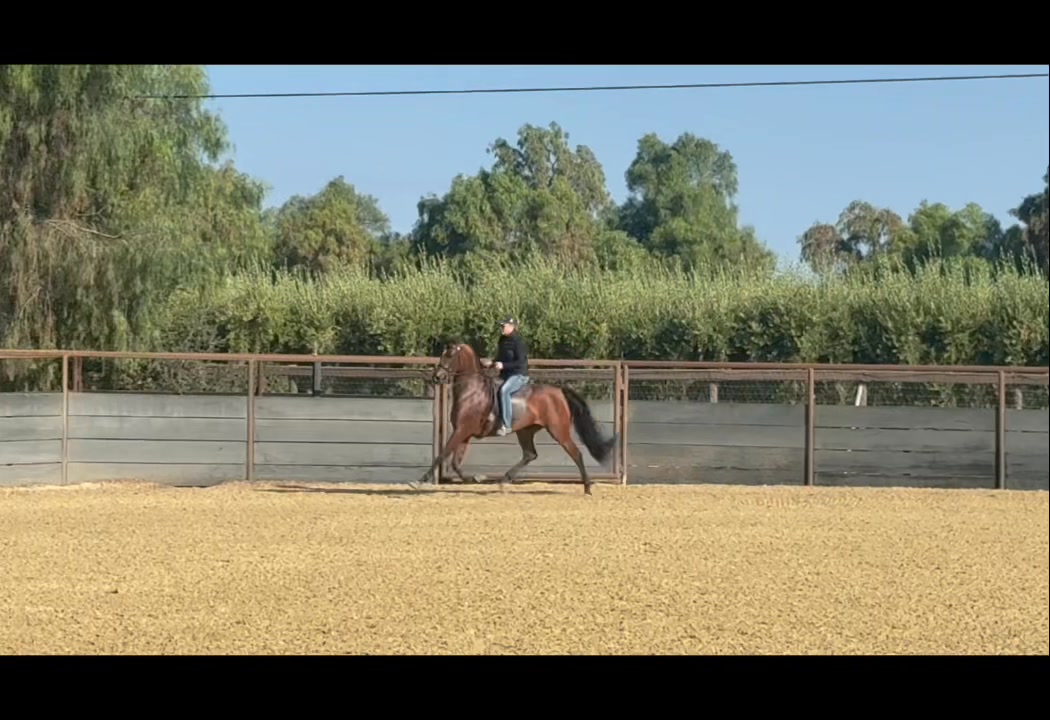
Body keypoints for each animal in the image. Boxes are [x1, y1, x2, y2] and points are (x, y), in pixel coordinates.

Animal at [407, 341, 617, 496]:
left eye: (450, 355)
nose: (437, 376)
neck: (471, 391)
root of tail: (558, 392)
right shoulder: (464, 433)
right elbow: (455, 463)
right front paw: (476, 478)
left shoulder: (462, 430)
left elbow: (442, 455)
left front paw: (419, 481)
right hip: (525, 431)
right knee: (530, 454)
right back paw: (503, 481)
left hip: (558, 431)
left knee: (576, 453)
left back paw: (587, 488)